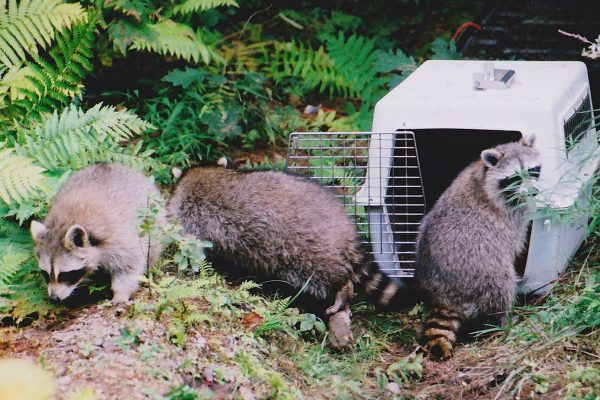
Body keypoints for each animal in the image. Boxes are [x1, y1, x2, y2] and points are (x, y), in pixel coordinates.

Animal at [30, 163, 166, 304]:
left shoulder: (119, 238)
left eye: (65, 274)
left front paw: (120, 293)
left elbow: (129, 265)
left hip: (153, 221)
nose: (54, 298)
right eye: (45, 273)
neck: (63, 225)